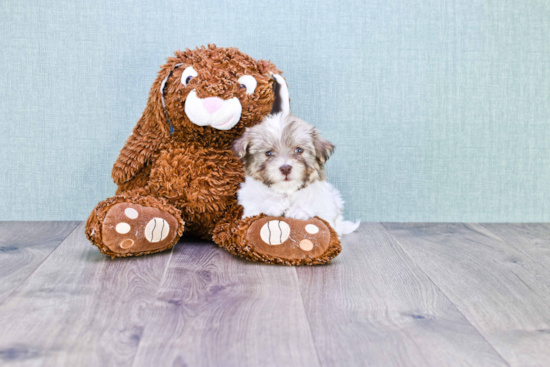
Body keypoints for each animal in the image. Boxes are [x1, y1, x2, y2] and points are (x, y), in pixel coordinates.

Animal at [233, 113, 362, 239]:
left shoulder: (325, 204)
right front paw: (274, 204)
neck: (287, 190)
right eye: (268, 153)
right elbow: (261, 202)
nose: (285, 168)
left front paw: (299, 210)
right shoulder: (250, 206)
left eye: (299, 150)